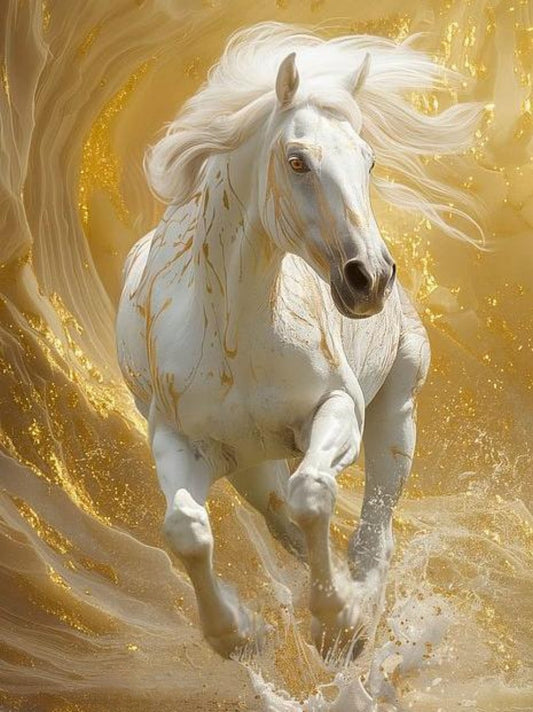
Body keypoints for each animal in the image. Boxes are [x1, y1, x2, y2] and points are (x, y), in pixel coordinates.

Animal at [115, 22, 483, 661]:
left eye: (367, 159)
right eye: (297, 161)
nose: (370, 278)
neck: (234, 338)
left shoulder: (338, 410)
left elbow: (314, 492)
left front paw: (338, 621)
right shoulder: (181, 442)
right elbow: (187, 531)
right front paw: (237, 634)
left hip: (395, 413)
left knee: (375, 525)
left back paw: (364, 615)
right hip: (251, 470)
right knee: (282, 517)